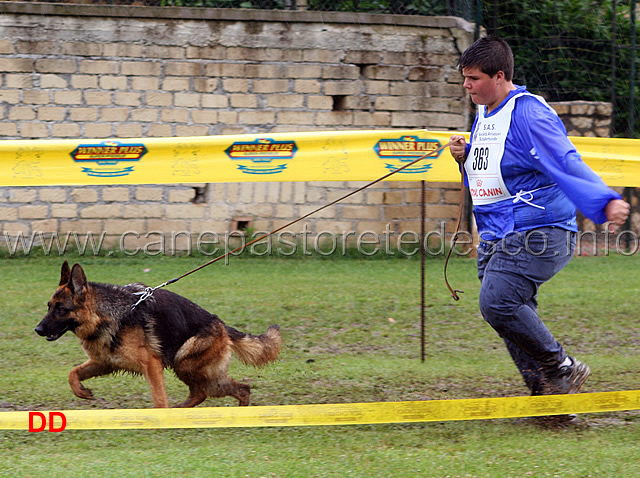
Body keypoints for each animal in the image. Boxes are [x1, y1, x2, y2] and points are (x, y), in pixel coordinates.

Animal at [35, 262, 282, 408]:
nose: (37, 330)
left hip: (184, 363)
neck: (104, 316)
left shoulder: (151, 365)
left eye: (60, 309)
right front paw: (81, 391)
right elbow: (72, 373)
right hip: (196, 370)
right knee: (235, 390)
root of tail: (219, 323)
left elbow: (159, 399)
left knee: (208, 391)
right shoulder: (105, 363)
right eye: (49, 306)